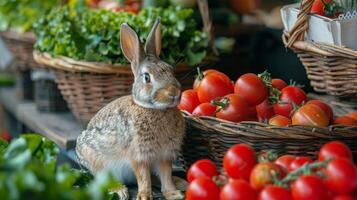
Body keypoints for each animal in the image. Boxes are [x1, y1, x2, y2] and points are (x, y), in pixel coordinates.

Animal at [76, 17, 185, 200]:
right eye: (147, 77)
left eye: (171, 70)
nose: (174, 93)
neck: (156, 109)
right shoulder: (139, 155)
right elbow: (143, 177)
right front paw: (145, 196)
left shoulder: (165, 155)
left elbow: (166, 175)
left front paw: (173, 194)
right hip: (98, 162)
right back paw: (119, 190)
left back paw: (181, 182)